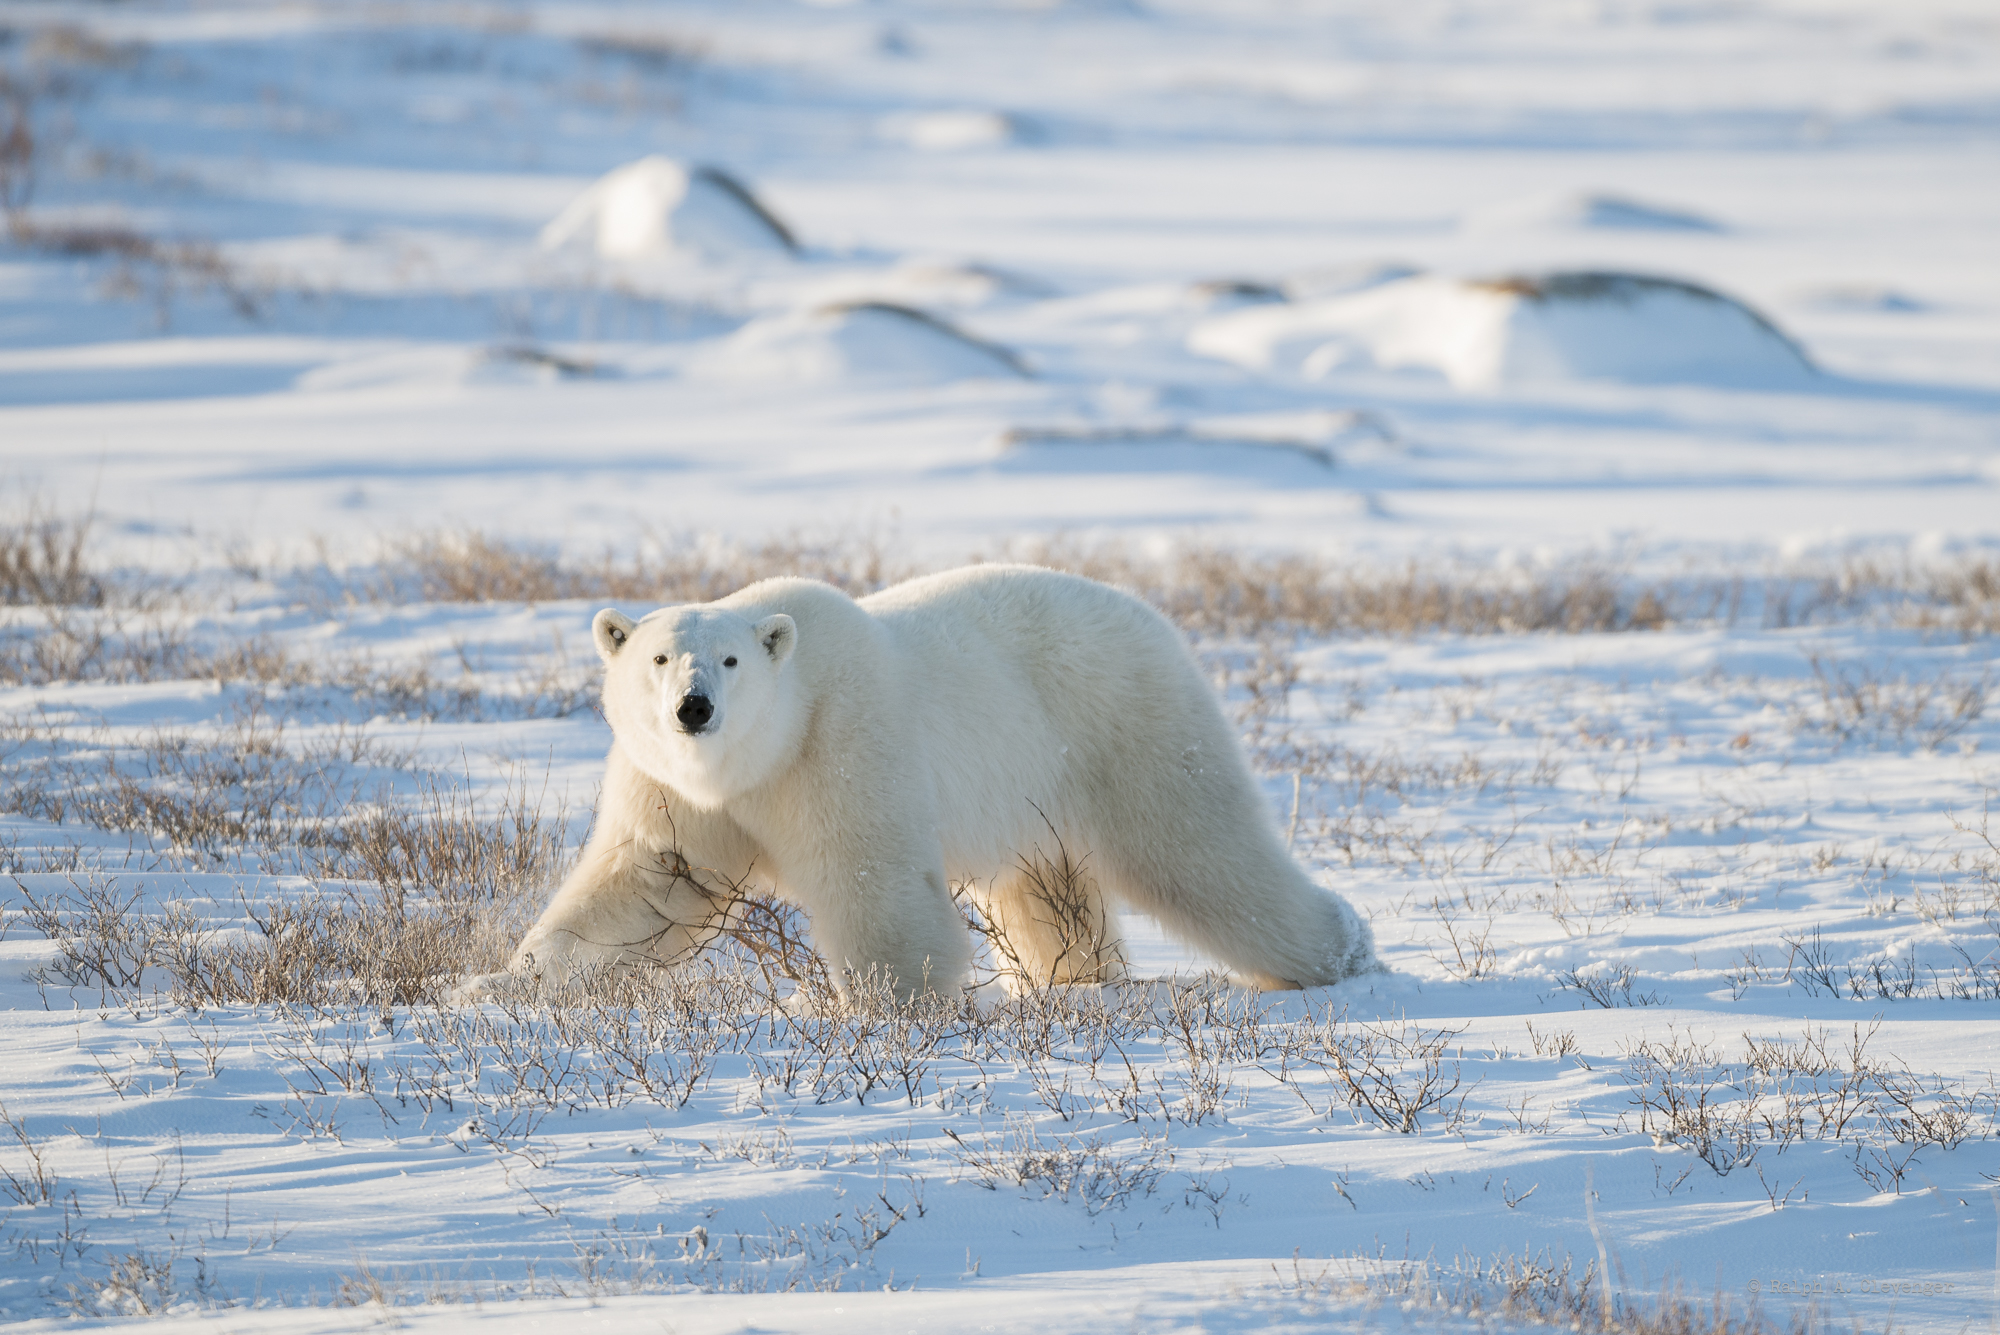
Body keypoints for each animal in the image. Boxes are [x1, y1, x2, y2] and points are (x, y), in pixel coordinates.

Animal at [464, 564, 1375, 999]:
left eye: (727, 659)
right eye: (658, 657)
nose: (694, 707)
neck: (758, 755)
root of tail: (1156, 618)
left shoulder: (841, 745)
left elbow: (873, 880)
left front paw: (874, 1003)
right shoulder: (679, 793)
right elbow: (644, 884)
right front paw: (501, 980)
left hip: (1123, 727)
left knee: (1200, 849)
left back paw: (1341, 947)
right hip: (1038, 781)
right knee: (1050, 890)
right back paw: (1074, 977)